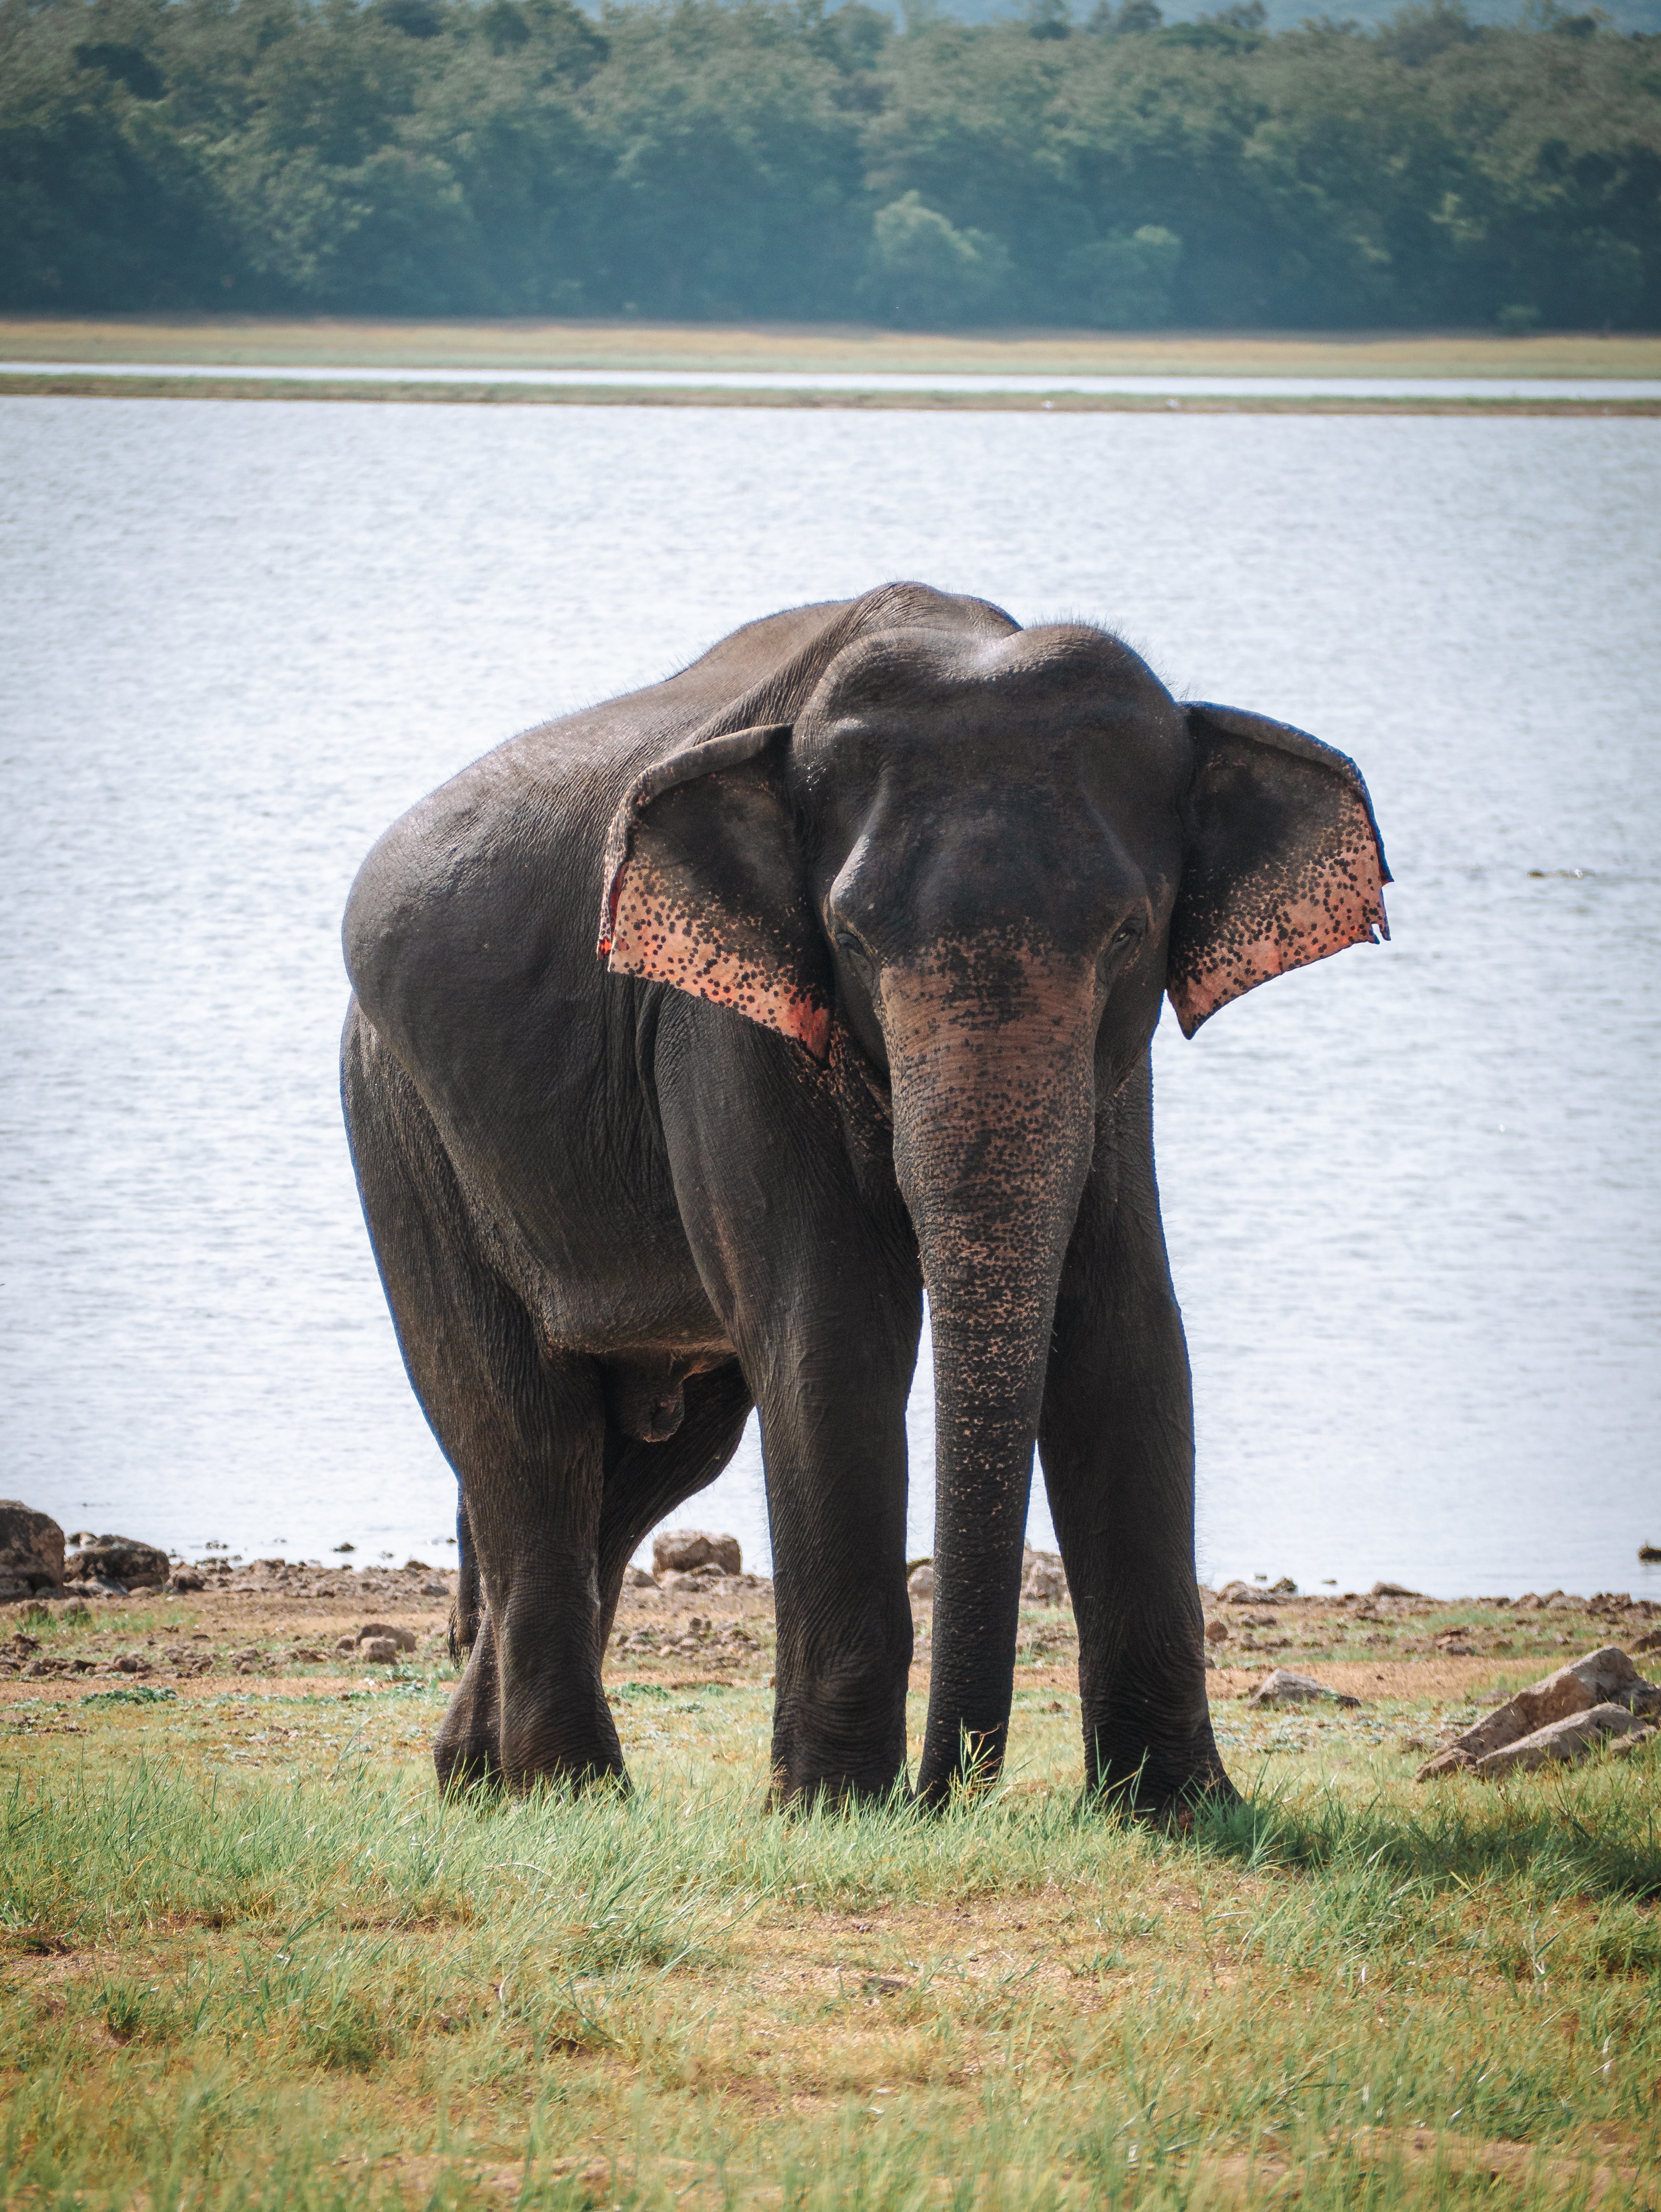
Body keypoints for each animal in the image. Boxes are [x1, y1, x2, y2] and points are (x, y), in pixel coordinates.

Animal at [340, 579, 1389, 1805]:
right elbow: (830, 1329)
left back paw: (481, 1780)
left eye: (1129, 934)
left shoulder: (1115, 1076)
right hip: (402, 1124)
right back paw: (572, 1791)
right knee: (530, 1438)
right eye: (848, 935)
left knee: (650, 1463)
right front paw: (833, 1804)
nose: (956, 1788)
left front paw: (1178, 1810)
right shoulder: (720, 1022)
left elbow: (1122, 1328)